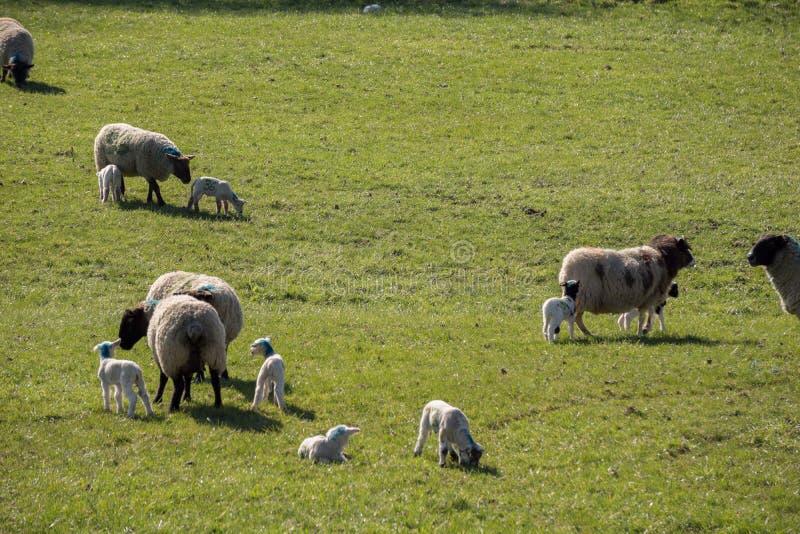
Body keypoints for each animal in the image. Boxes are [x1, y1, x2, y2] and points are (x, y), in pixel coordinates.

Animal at [556, 233, 692, 336]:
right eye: (685, 248)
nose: (693, 261)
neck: (662, 258)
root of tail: (567, 265)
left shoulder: (647, 298)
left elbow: (647, 314)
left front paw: (643, 330)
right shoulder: (650, 297)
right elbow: (645, 316)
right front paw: (642, 331)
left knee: (577, 318)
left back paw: (588, 333)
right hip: (583, 297)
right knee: (575, 318)